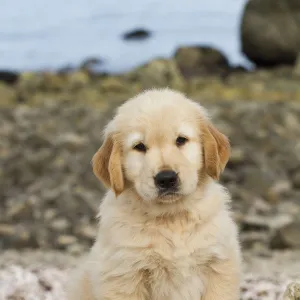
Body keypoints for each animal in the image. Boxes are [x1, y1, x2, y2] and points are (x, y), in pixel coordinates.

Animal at [67, 88, 243, 298]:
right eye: (139, 146)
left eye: (181, 140)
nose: (166, 178)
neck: (171, 217)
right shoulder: (125, 274)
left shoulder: (218, 264)